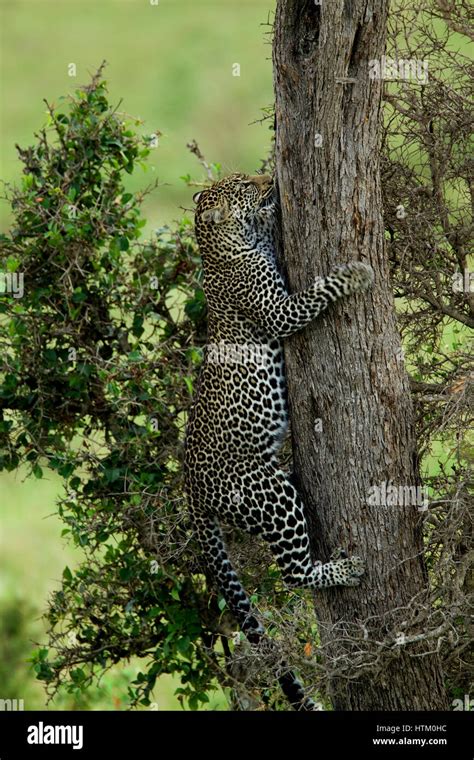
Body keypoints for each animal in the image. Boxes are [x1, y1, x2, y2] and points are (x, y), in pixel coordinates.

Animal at [185, 171, 374, 708]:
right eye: (243, 187)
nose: (265, 179)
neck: (222, 246)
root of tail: (190, 489)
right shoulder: (280, 310)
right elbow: (317, 292)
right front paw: (356, 274)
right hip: (269, 496)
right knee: (292, 572)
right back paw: (342, 571)